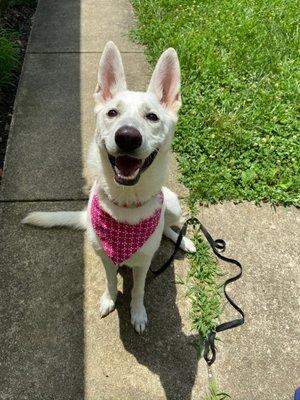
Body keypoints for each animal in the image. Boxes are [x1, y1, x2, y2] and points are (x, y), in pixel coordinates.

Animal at [22, 42, 196, 332]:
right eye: (112, 112)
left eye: (152, 117)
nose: (127, 136)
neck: (125, 202)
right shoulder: (104, 257)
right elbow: (110, 280)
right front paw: (110, 299)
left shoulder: (143, 263)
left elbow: (138, 289)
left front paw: (137, 313)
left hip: (173, 205)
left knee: (167, 227)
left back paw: (183, 240)